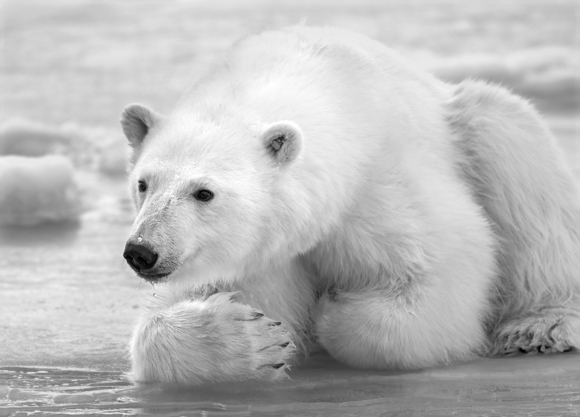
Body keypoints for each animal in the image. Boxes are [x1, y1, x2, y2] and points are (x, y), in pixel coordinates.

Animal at [119, 26, 580, 384]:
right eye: (143, 183)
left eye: (204, 192)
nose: (142, 251)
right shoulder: (254, 258)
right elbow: (175, 313)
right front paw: (258, 339)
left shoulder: (377, 189)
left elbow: (442, 262)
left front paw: (332, 311)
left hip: (471, 129)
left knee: (515, 153)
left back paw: (541, 326)